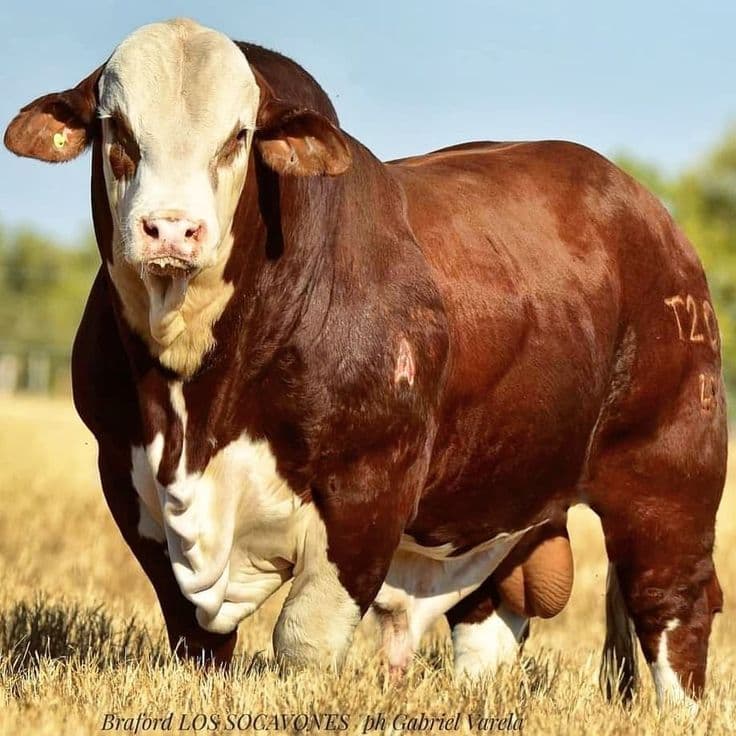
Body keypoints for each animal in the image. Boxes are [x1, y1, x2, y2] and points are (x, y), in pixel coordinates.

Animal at [5, 18, 725, 709]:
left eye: (238, 136)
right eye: (117, 130)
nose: (172, 229)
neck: (194, 401)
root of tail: (652, 217)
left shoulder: (369, 485)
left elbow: (305, 639)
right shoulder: (131, 482)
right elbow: (195, 639)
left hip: (669, 472)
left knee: (672, 606)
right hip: (500, 496)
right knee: (487, 618)